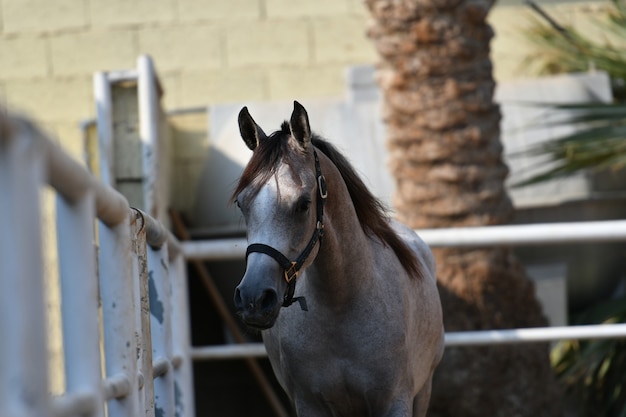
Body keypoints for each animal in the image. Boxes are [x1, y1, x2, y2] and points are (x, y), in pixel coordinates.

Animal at [232, 101, 442, 416]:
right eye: (241, 203)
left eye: (303, 204)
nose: (253, 299)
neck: (341, 304)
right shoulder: (309, 405)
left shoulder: (396, 402)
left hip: (424, 390)